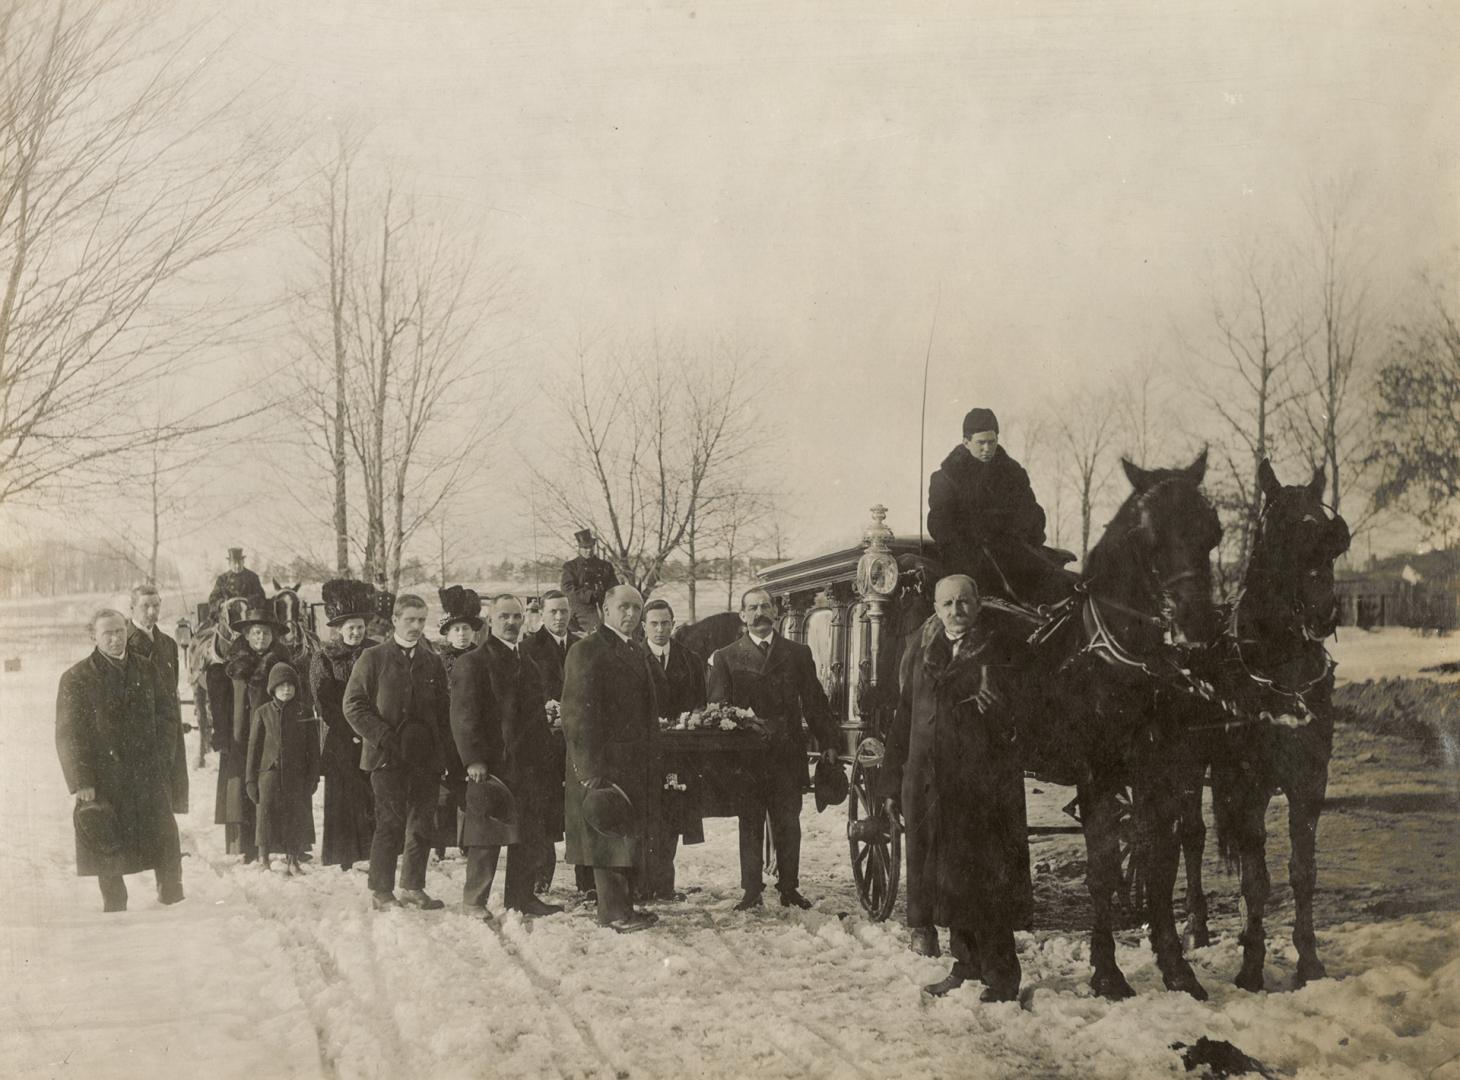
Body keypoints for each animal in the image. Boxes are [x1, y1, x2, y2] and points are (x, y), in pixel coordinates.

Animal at [1173, 461, 1343, 992]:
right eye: (1281, 531)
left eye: (1330, 535)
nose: (1324, 610)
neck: (1280, 670)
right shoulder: (1246, 782)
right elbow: (1255, 879)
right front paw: (1251, 967)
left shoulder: (1309, 780)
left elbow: (1302, 872)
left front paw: (1309, 962)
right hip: (1189, 768)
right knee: (1191, 835)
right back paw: (1196, 925)